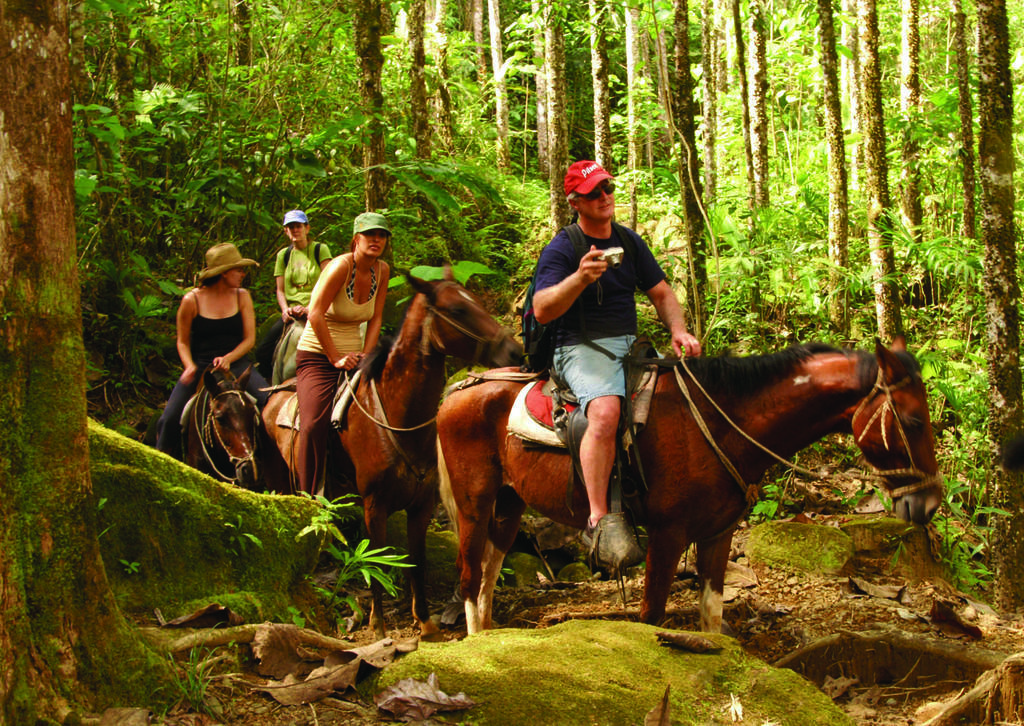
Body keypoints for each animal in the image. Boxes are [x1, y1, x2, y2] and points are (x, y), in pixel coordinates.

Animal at [264, 270, 520, 634]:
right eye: (457, 310)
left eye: (478, 302)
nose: (514, 351)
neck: (400, 415)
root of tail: (276, 395)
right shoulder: (375, 504)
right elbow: (377, 558)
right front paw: (378, 623)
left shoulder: (422, 505)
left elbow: (417, 560)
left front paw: (425, 622)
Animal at [440, 337, 942, 630]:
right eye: (913, 421)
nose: (930, 504)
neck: (722, 422)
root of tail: (462, 387)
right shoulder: (667, 535)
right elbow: (651, 618)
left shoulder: (719, 533)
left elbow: (711, 617)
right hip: (473, 503)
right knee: (468, 576)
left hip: (509, 504)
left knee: (487, 577)